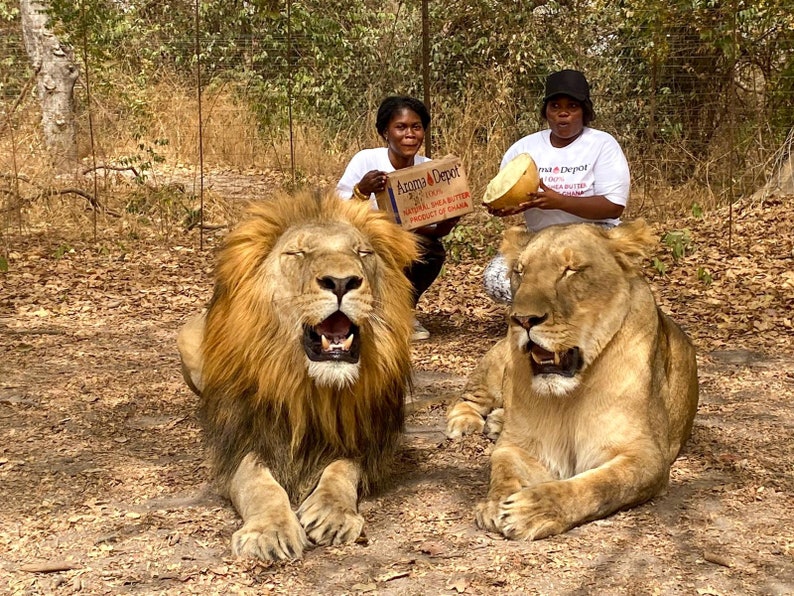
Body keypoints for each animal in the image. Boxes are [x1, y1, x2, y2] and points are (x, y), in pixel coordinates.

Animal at [176, 190, 418, 560]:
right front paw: (269, 531)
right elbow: (257, 483)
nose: (341, 282)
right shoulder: (239, 443)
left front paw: (332, 513)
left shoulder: (364, 439)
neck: (308, 384)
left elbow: (342, 470)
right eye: (298, 253)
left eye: (362, 253)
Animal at [448, 220, 696, 540]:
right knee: (467, 398)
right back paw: (465, 423)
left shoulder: (646, 455)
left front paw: (532, 510)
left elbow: (600, 485)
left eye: (570, 270)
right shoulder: (514, 445)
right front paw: (494, 504)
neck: (568, 396)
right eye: (520, 271)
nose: (523, 320)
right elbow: (502, 468)